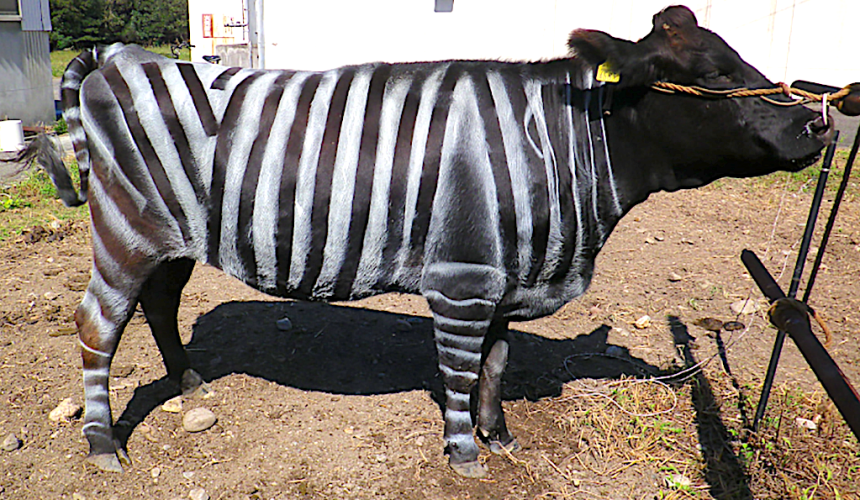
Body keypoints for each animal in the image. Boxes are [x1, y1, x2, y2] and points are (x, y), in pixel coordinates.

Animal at [30, 6, 829, 478]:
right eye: (712, 75)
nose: (819, 123)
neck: (556, 147)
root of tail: (122, 55)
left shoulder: (508, 276)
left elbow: (497, 365)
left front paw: (500, 437)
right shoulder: (464, 279)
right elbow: (459, 370)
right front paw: (464, 453)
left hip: (173, 236)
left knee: (159, 304)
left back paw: (191, 382)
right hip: (127, 230)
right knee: (98, 325)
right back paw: (103, 445)